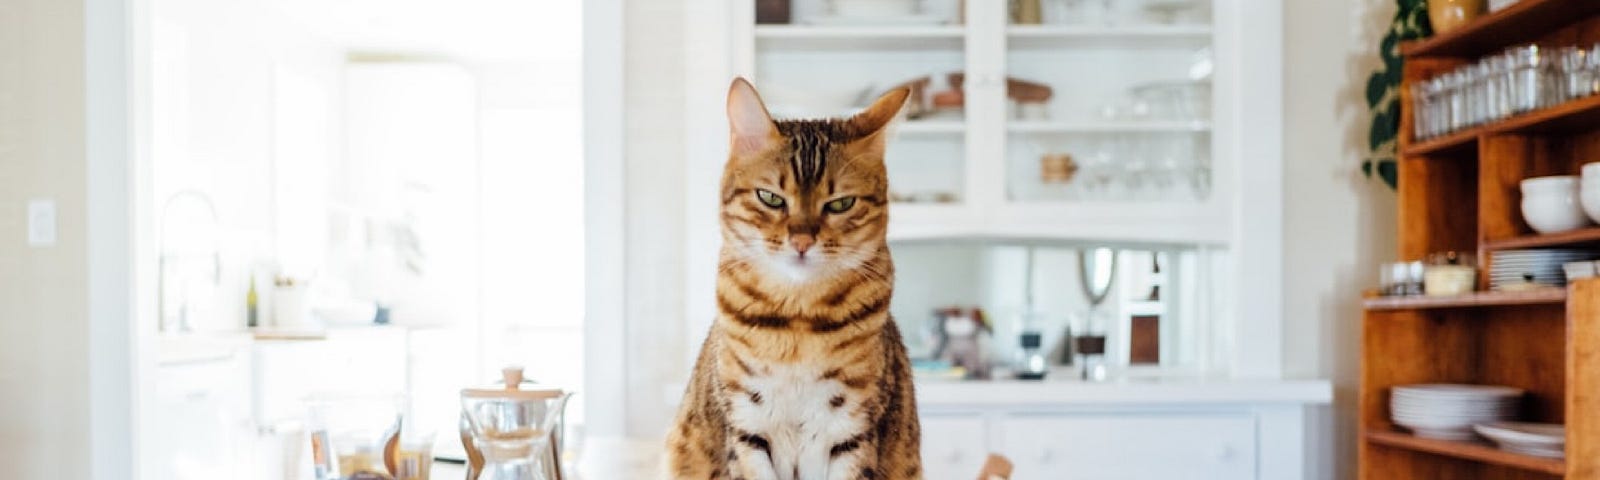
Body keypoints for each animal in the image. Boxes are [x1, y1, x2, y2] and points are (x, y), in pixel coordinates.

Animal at [659, 76, 915, 476]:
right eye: (771, 198)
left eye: (841, 203)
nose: (802, 241)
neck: (798, 325)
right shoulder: (747, 426)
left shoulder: (853, 429)